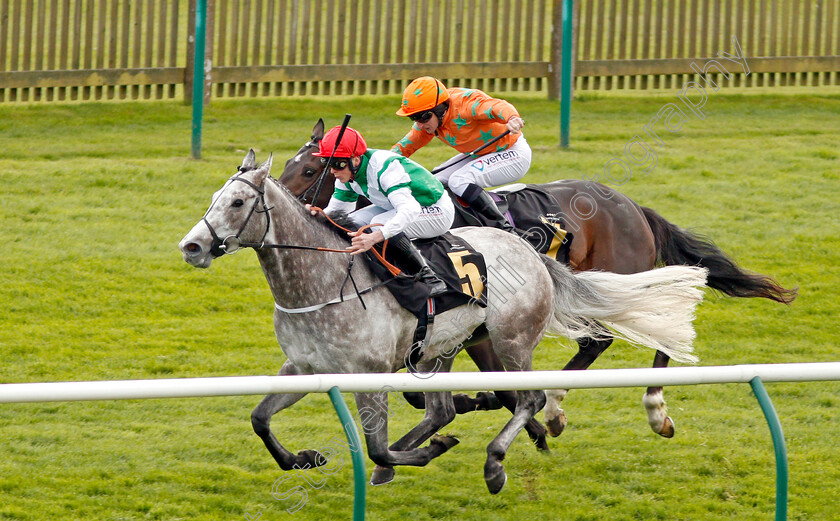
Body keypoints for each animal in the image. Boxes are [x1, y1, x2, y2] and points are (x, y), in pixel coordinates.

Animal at [179, 149, 708, 492]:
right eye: (213, 197)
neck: (324, 281)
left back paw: (502, 459)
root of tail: (530, 251)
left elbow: (377, 445)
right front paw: (305, 458)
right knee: (443, 410)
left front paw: (424, 453)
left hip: (511, 339)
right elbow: (260, 419)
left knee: (532, 395)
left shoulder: (371, 373)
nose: (192, 246)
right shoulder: (305, 367)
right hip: (443, 347)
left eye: (238, 203)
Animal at [278, 121, 796, 442]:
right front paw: (475, 405)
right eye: (287, 164)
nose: (281, 195)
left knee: (642, 328)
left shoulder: (479, 325)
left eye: (311, 169)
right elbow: (443, 389)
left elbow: (500, 390)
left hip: (620, 278)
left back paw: (644, 408)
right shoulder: (463, 330)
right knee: (606, 338)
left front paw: (508, 415)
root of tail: (632, 206)